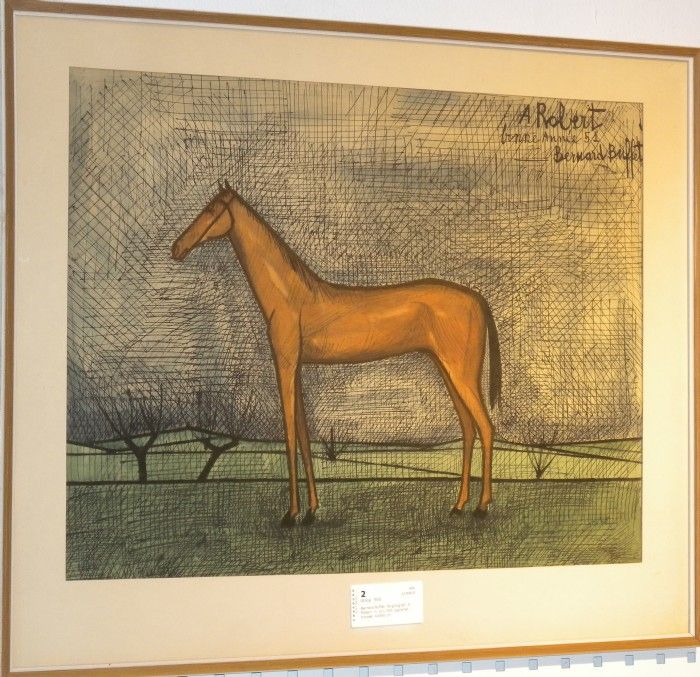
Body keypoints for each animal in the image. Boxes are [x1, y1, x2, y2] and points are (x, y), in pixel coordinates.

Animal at [172, 181, 501, 526]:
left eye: (212, 208)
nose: (176, 248)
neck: (292, 294)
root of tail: (478, 299)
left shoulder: (285, 366)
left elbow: (290, 436)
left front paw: (291, 513)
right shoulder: (296, 369)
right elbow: (304, 437)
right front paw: (311, 510)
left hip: (462, 374)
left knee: (486, 428)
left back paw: (481, 506)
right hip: (448, 371)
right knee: (468, 429)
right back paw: (458, 505)